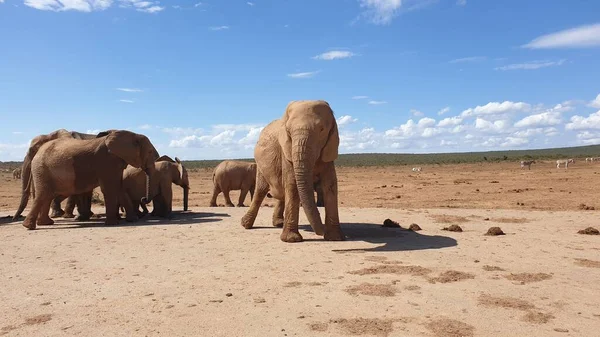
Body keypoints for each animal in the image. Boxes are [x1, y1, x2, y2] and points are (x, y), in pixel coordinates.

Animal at [21, 129, 159, 228]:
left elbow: (118, 187)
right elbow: (110, 188)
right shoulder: (107, 160)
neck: (133, 134)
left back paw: (45, 223)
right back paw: (31, 226)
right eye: (150, 152)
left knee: (46, 195)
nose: (144, 198)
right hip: (42, 169)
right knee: (43, 194)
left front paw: (132, 220)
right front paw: (113, 223)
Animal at [239, 100, 342, 242]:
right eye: (288, 131)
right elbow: (292, 185)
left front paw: (334, 238)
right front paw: (291, 240)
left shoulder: (328, 149)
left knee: (281, 193)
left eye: (322, 130)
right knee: (260, 191)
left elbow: (330, 185)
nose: (321, 231)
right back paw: (246, 225)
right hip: (260, 166)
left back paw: (278, 224)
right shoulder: (286, 151)